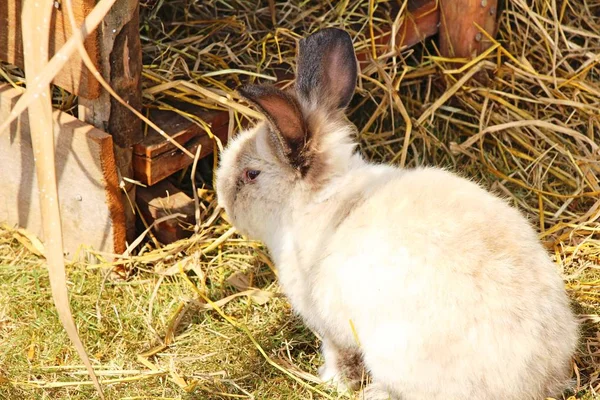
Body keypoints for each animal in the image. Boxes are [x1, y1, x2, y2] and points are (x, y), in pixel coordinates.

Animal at [214, 28, 576, 400]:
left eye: (251, 175)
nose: (224, 202)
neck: (316, 198)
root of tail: (534, 380)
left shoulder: (329, 326)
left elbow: (338, 357)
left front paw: (331, 380)